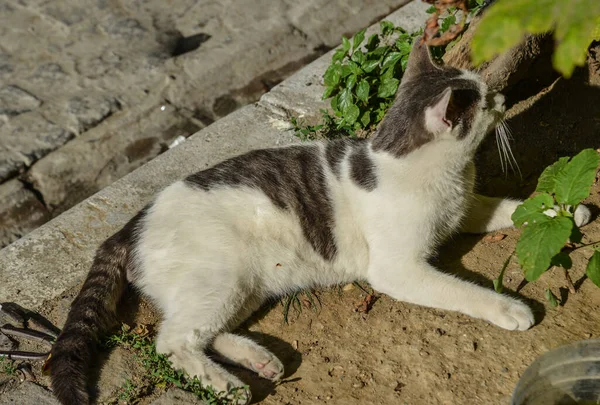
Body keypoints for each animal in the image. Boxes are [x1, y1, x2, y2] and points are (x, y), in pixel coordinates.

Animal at [48, 36, 592, 402]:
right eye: (485, 101)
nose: (503, 98)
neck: (443, 176)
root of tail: (128, 226)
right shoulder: (397, 271)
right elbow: (462, 290)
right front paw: (508, 308)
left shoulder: (465, 208)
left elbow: (513, 206)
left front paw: (568, 209)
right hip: (221, 277)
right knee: (173, 341)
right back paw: (227, 386)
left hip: (245, 286)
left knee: (202, 331)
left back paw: (258, 360)